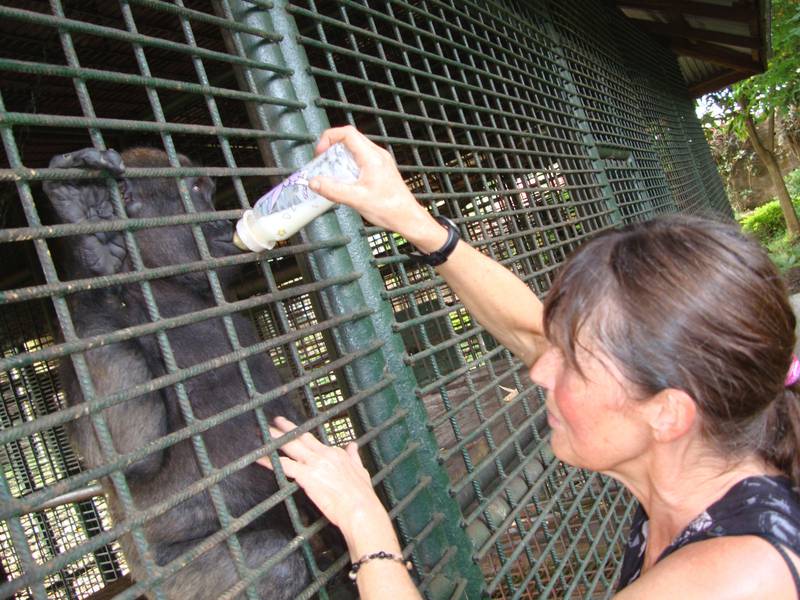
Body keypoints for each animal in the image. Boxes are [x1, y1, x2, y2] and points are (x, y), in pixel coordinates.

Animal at [41, 146, 310, 600]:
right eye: (197, 189)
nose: (221, 217)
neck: (166, 288)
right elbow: (130, 450)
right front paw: (90, 245)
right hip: (169, 580)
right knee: (276, 566)